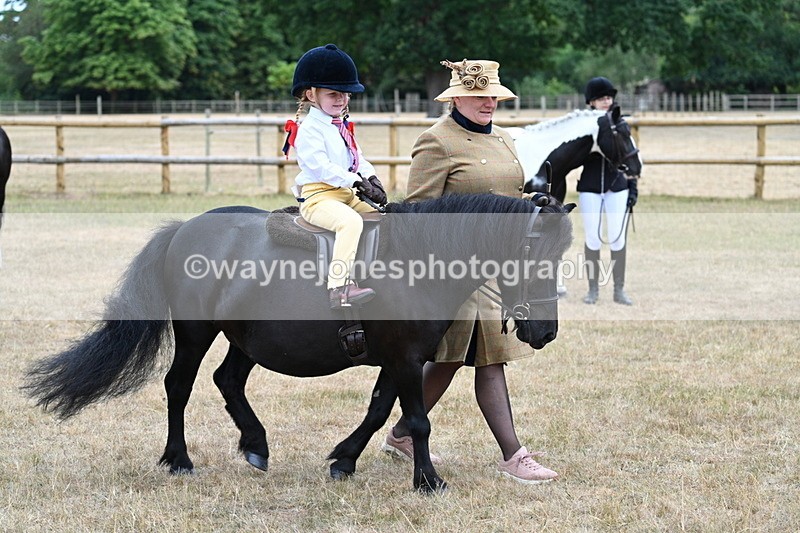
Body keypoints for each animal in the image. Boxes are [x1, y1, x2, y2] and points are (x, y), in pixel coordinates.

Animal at [23, 193, 574, 493]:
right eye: (534, 255)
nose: (545, 332)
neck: (416, 258)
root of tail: (184, 228)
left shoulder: (396, 360)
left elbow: (378, 409)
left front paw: (344, 460)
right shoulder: (404, 357)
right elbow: (417, 419)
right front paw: (428, 481)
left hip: (244, 340)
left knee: (227, 381)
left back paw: (255, 445)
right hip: (196, 332)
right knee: (178, 385)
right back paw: (179, 459)